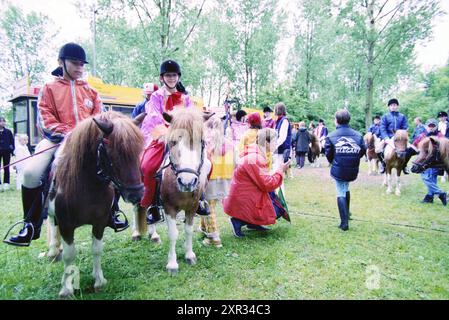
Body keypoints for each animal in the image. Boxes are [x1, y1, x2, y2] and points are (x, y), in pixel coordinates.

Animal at [45, 112, 144, 298]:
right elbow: (69, 254)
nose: (137, 194)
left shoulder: (100, 222)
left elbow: (97, 249)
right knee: (52, 225)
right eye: (113, 151)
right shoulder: (66, 224)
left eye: (139, 150)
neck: (87, 186)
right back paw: (53, 251)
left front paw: (99, 280)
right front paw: (67, 288)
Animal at [133, 108, 214, 276]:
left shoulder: (192, 207)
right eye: (173, 142)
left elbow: (188, 230)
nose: (187, 181)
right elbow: (173, 234)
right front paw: (172, 264)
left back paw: (153, 235)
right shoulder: (169, 208)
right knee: (137, 208)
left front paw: (189, 255)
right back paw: (136, 233)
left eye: (202, 142)